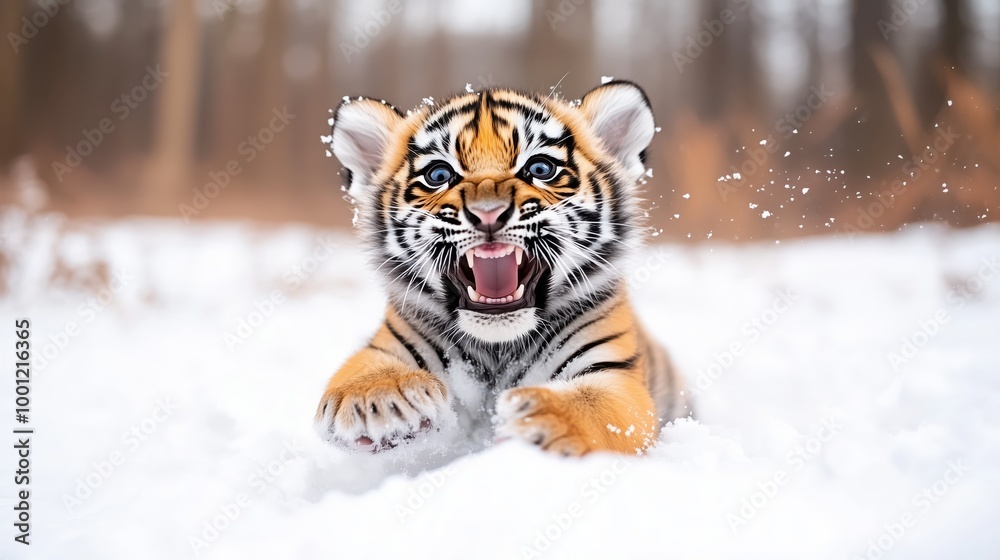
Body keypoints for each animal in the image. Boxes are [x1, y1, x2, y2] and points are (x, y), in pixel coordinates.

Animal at [315, 80, 691, 457]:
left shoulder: (616, 374)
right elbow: (362, 367)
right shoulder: (391, 342)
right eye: (439, 175)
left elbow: (597, 406)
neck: (498, 347)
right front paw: (376, 400)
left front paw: (541, 419)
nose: (488, 213)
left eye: (540, 169)